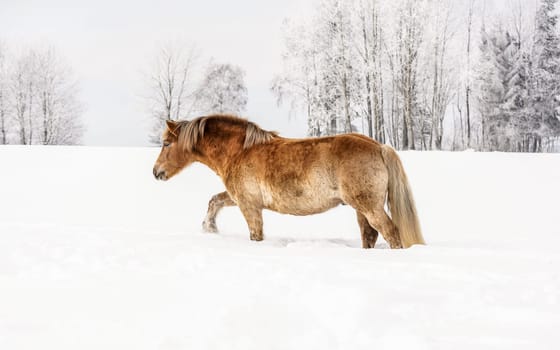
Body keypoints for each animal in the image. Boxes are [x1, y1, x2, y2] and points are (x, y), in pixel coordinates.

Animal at [153, 115, 424, 249]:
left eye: (166, 143)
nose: (156, 172)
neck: (239, 151)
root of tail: (378, 146)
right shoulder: (239, 197)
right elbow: (214, 201)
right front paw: (209, 228)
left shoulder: (249, 205)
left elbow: (256, 234)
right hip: (361, 209)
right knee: (369, 235)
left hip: (370, 207)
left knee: (391, 233)